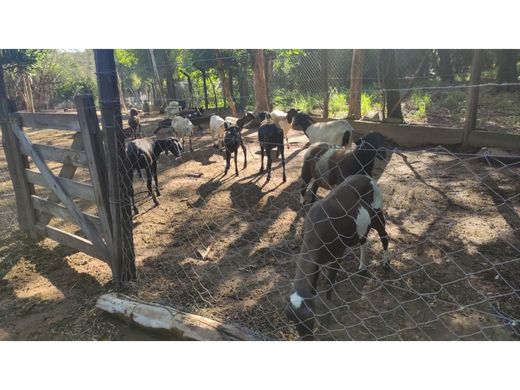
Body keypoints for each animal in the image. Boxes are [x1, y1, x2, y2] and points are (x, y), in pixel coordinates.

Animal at [284, 175, 390, 340]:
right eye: (294, 321)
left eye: (310, 319)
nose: (307, 339)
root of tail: (366, 177)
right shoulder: (316, 263)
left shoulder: (337, 255)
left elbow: (329, 283)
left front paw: (328, 308)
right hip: (362, 224)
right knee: (363, 240)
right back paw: (362, 267)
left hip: (377, 213)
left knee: (384, 236)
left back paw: (386, 264)